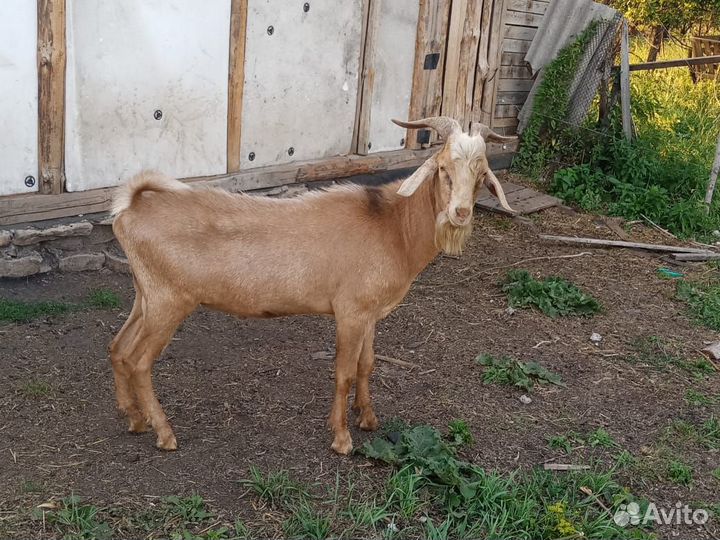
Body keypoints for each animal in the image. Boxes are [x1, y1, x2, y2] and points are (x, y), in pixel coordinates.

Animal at [109, 116, 516, 455]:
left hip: (146, 296)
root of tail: (130, 210)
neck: (393, 226)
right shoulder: (350, 312)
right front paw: (341, 438)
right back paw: (164, 433)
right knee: (139, 361)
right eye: (444, 168)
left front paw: (368, 418)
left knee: (119, 348)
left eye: (481, 173)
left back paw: (135, 419)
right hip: (169, 301)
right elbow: (344, 372)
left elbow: (367, 364)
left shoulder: (369, 313)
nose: (460, 213)